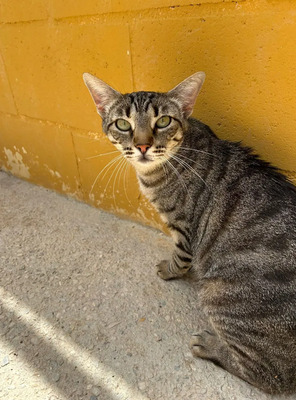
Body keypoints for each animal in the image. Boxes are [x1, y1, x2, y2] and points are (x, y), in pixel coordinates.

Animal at [82, 72, 296, 394]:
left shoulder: (183, 228)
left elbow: (181, 258)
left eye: (163, 121)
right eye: (122, 124)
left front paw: (168, 270)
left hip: (220, 295)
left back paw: (210, 345)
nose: (142, 146)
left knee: (269, 376)